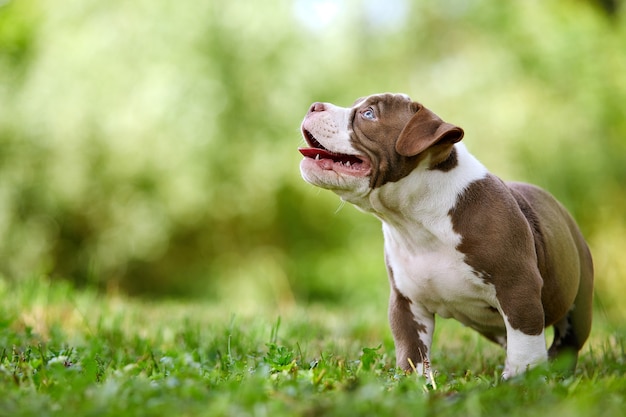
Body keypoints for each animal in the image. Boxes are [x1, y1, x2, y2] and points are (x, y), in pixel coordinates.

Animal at [298, 92, 588, 378]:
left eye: (369, 114)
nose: (314, 106)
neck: (416, 219)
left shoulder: (519, 290)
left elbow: (525, 350)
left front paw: (522, 383)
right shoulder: (406, 302)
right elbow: (411, 353)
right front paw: (414, 384)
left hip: (577, 300)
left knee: (566, 343)